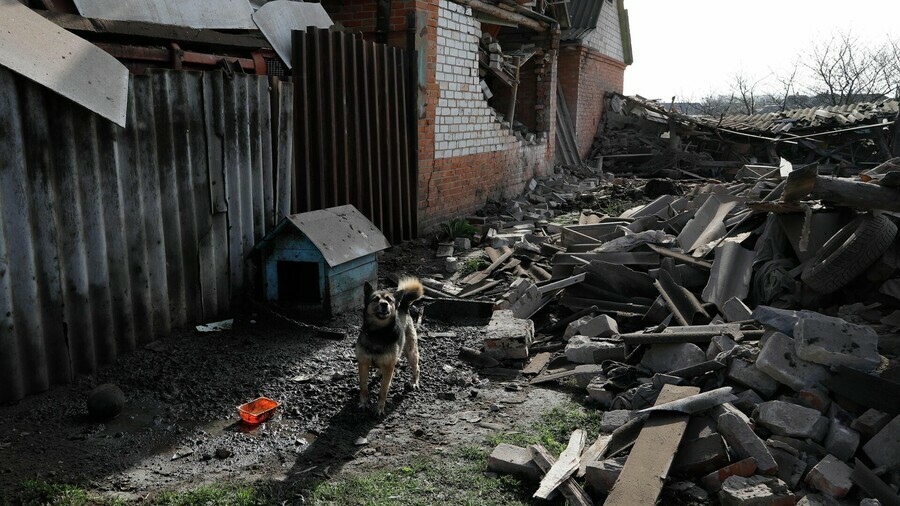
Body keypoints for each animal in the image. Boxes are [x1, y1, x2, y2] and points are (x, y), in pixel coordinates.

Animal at [356, 276, 424, 416]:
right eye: (375, 299)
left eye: (389, 300)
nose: (384, 304)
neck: (378, 333)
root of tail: (403, 306)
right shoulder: (363, 363)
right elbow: (363, 387)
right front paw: (363, 403)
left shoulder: (389, 367)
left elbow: (383, 390)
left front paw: (379, 408)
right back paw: (378, 373)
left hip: (411, 352)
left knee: (417, 368)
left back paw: (414, 382)